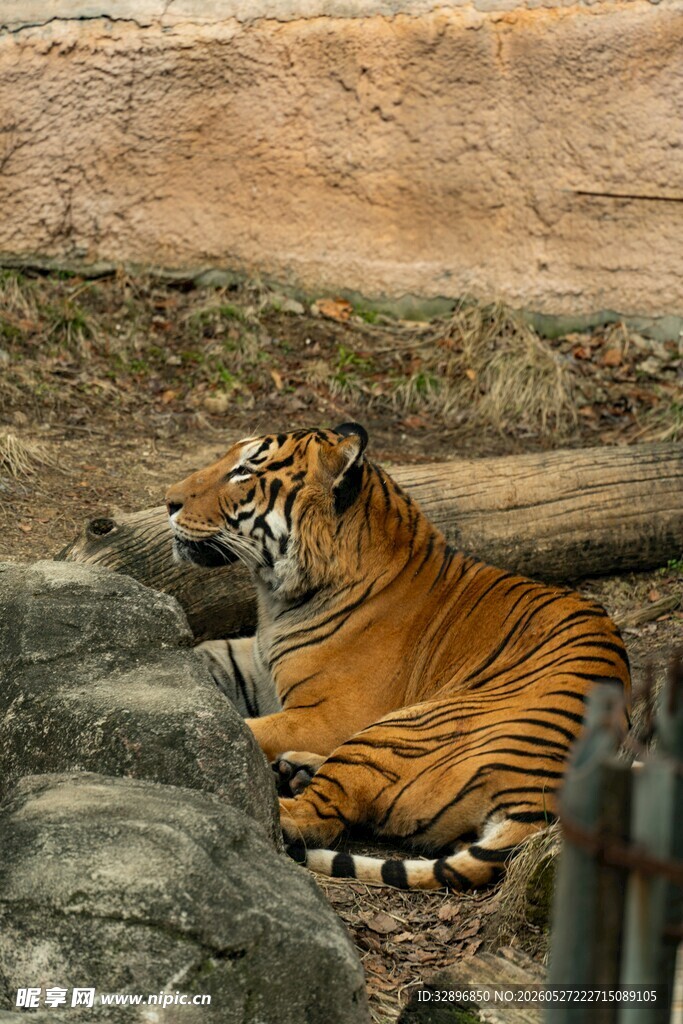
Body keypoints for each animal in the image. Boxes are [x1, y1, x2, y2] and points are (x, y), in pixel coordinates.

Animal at [165, 422, 631, 890]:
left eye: (244, 471)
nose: (168, 500)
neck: (281, 598)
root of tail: (543, 798)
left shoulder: (328, 716)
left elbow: (247, 730)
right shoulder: (258, 665)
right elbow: (209, 660)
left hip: (397, 730)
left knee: (311, 820)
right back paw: (297, 769)